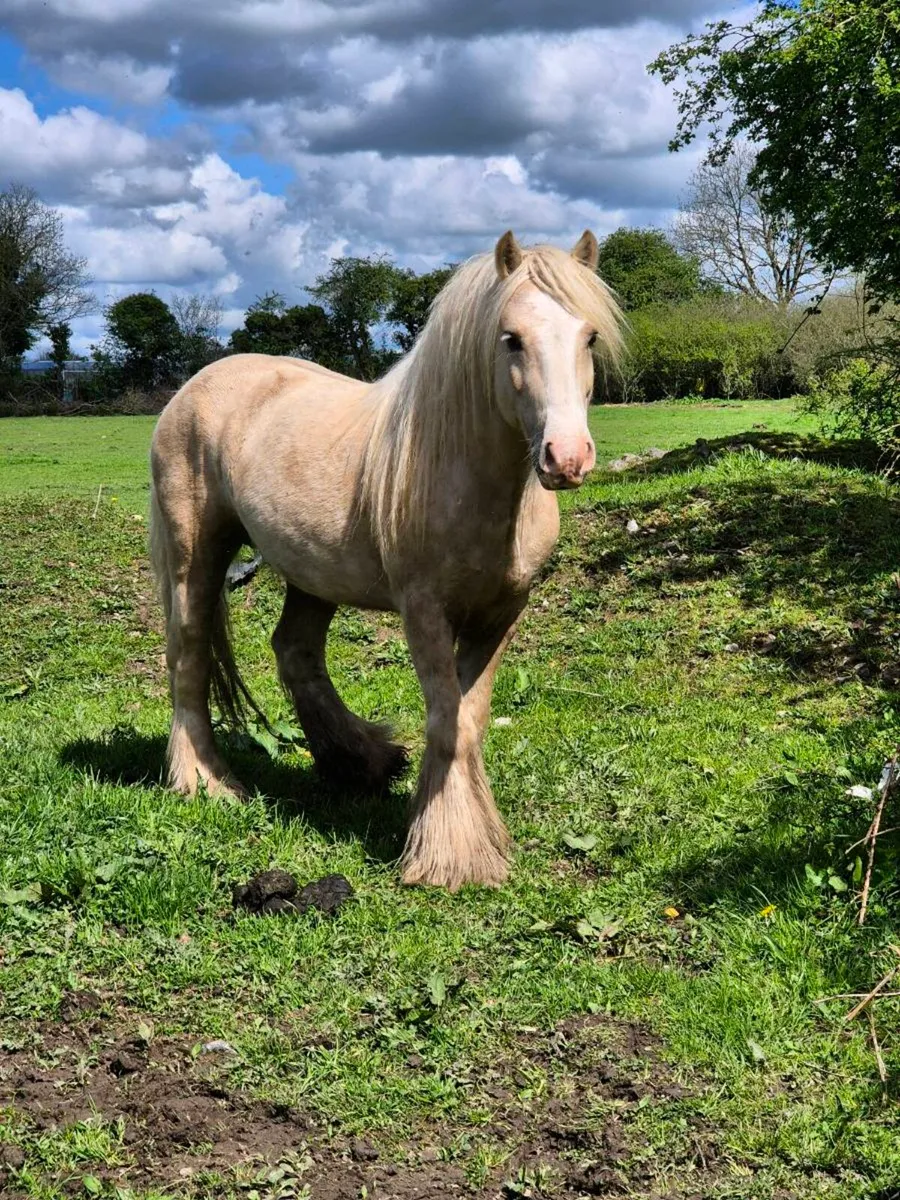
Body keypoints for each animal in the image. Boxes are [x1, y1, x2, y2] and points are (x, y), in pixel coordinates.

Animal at [149, 230, 624, 891]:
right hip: (194, 556)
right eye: (510, 338)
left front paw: (462, 835)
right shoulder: (424, 610)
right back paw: (206, 782)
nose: (568, 457)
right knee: (189, 657)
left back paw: (361, 759)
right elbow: (447, 721)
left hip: (311, 574)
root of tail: (194, 387)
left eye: (590, 337)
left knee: (295, 651)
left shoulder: (502, 613)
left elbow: (470, 719)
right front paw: (451, 855)